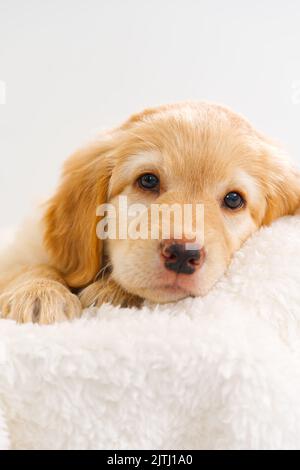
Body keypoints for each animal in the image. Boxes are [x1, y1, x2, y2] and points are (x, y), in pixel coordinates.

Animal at [0, 101, 300, 324]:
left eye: (234, 199)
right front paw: (39, 292)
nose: (183, 254)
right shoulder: (20, 246)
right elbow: (27, 266)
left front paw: (113, 292)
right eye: (148, 181)